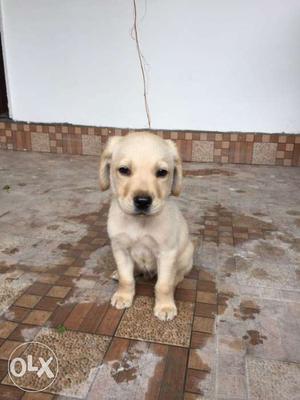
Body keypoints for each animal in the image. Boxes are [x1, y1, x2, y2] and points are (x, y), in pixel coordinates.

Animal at [99, 133, 193, 320]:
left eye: (162, 172)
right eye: (124, 170)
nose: (142, 201)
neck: (140, 222)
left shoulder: (166, 253)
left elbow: (163, 285)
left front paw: (165, 307)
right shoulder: (120, 249)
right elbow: (127, 279)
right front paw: (123, 296)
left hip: (187, 253)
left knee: (178, 274)